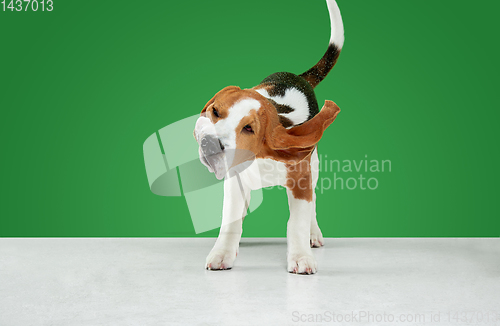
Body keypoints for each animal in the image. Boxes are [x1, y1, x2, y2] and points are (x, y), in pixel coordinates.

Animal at [192, 0, 344, 276]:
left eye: (249, 128)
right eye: (215, 112)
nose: (210, 144)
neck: (260, 158)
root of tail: (298, 77)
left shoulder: (301, 182)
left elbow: (297, 222)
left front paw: (300, 257)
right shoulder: (234, 181)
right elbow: (230, 219)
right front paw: (223, 252)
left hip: (314, 165)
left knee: (313, 204)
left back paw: (313, 233)